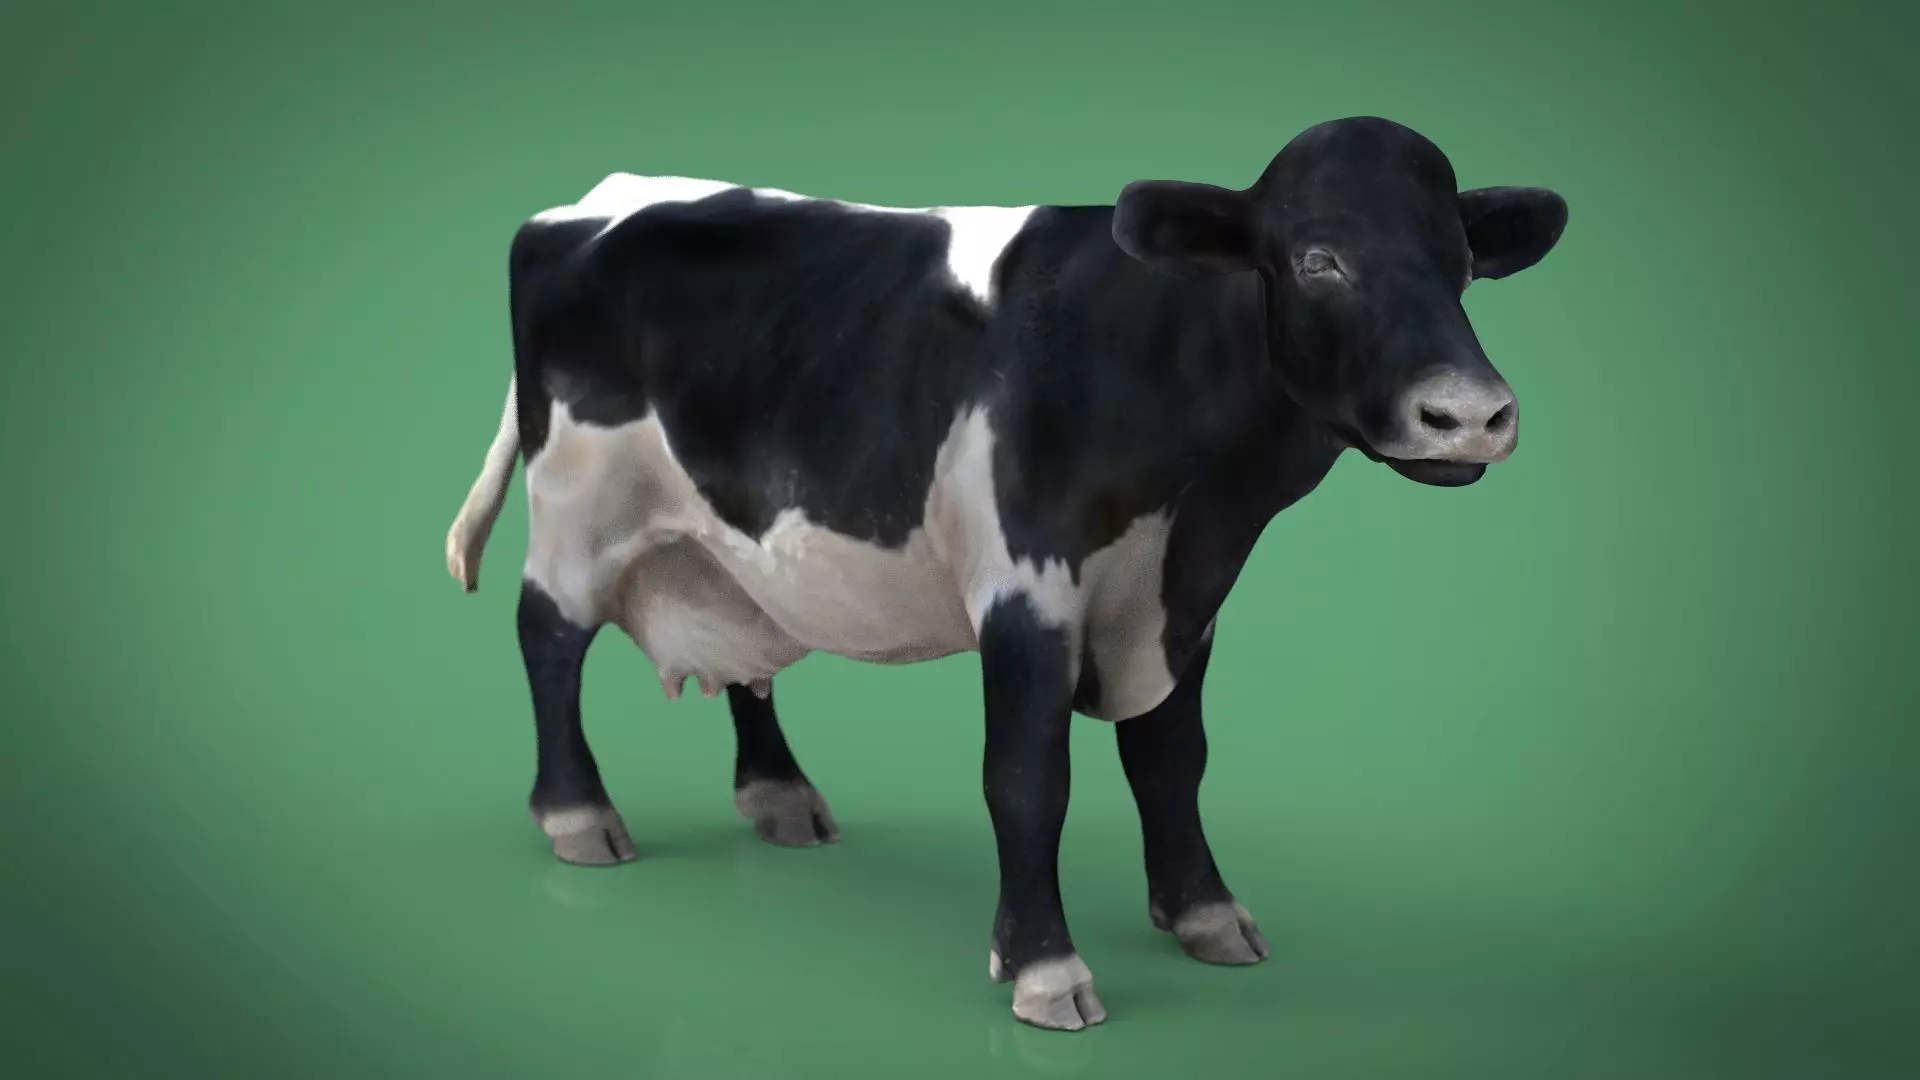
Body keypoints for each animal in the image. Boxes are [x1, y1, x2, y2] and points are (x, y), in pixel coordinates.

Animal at [444, 115, 1567, 1031]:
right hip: (577, 506)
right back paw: (579, 815)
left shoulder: (1182, 602)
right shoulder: (1028, 590)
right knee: (546, 634)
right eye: (1318, 258)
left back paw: (781, 796)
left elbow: (1174, 757)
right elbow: (1029, 780)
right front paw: (1044, 969)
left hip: (735, 538)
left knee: (746, 650)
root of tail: (591, 200)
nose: (1469, 413)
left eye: (1463, 263)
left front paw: (1205, 912)